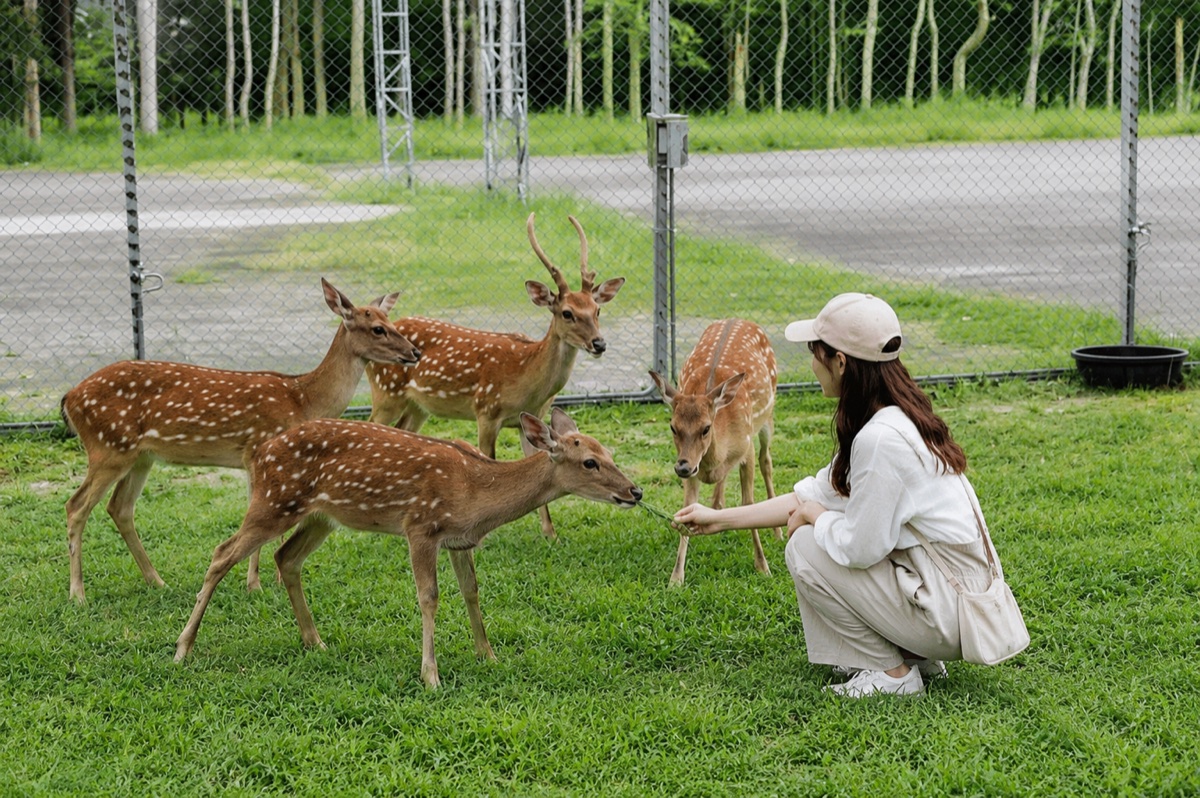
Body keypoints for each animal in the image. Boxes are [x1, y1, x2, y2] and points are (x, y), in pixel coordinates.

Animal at [60, 278, 422, 603]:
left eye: (391, 321)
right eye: (377, 328)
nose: (415, 352)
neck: (303, 400)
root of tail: (69, 398)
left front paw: (265, 581)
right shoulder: (259, 450)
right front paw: (259, 584)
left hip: (140, 456)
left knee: (119, 507)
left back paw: (157, 581)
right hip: (108, 447)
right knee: (76, 506)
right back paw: (78, 594)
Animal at [173, 408, 642, 688]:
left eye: (610, 453)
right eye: (589, 462)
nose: (635, 491)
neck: (476, 492)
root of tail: (257, 454)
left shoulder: (458, 538)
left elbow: (471, 592)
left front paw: (488, 655)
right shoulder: (420, 527)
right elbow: (429, 597)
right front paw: (431, 675)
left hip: (321, 516)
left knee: (285, 558)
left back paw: (315, 642)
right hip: (274, 501)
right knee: (221, 553)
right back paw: (182, 648)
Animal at [364, 212, 625, 541]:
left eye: (597, 310)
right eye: (567, 313)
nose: (599, 344)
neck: (526, 379)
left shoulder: (531, 417)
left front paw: (550, 533)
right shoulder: (486, 411)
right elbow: (490, 462)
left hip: (418, 406)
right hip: (385, 391)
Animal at [649, 318, 779, 587]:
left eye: (706, 428)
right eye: (672, 427)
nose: (682, 467)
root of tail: (737, 318)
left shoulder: (746, 446)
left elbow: (748, 502)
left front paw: (763, 566)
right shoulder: (694, 470)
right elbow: (687, 508)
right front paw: (676, 578)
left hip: (767, 417)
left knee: (766, 461)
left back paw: (777, 532)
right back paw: (717, 507)